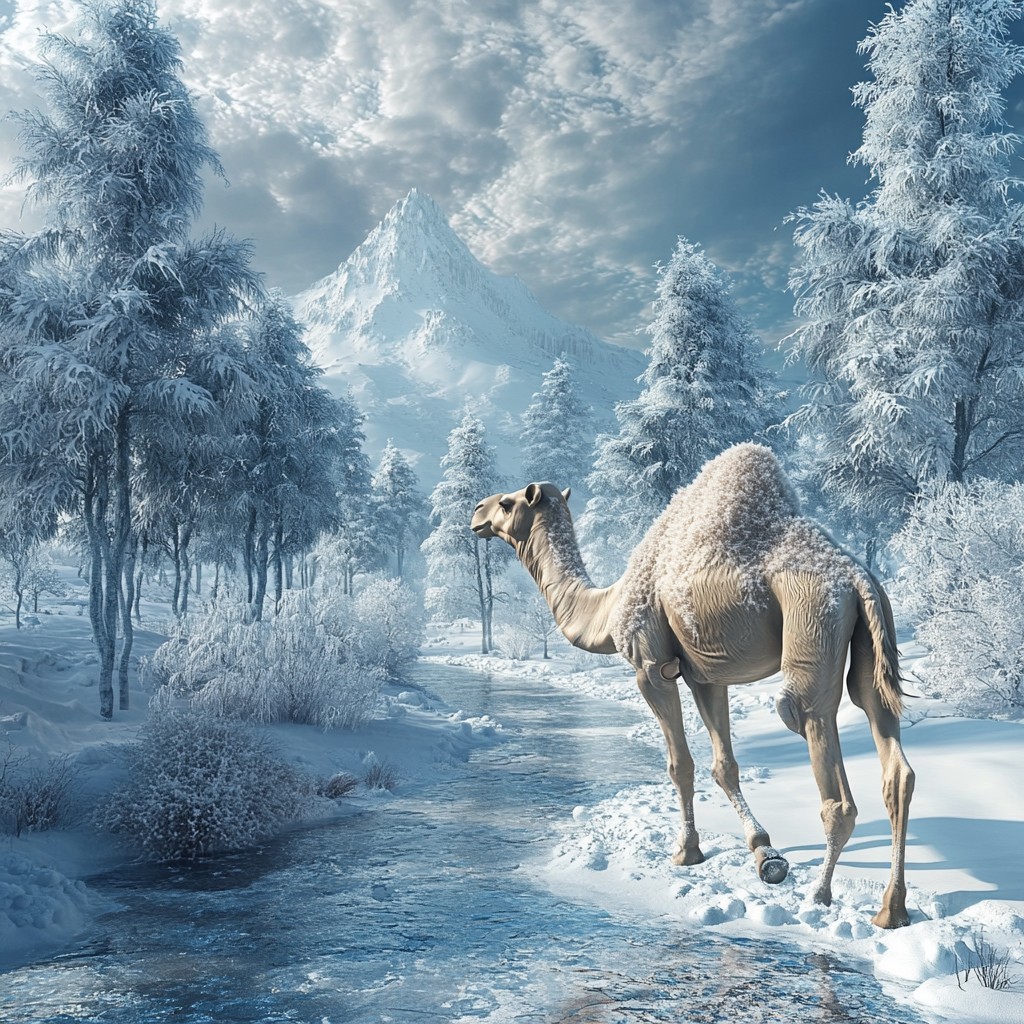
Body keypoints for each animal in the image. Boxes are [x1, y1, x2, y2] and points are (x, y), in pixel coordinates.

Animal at [471, 443, 915, 929]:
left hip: (812, 620)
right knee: (892, 755)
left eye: (507, 503)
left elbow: (679, 764)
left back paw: (818, 894)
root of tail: (857, 578)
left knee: (817, 749)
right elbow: (724, 765)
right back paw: (891, 909)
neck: (608, 607)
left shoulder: (650, 666)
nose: (475, 512)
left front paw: (687, 851)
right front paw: (764, 853)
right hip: (872, 636)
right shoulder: (705, 673)